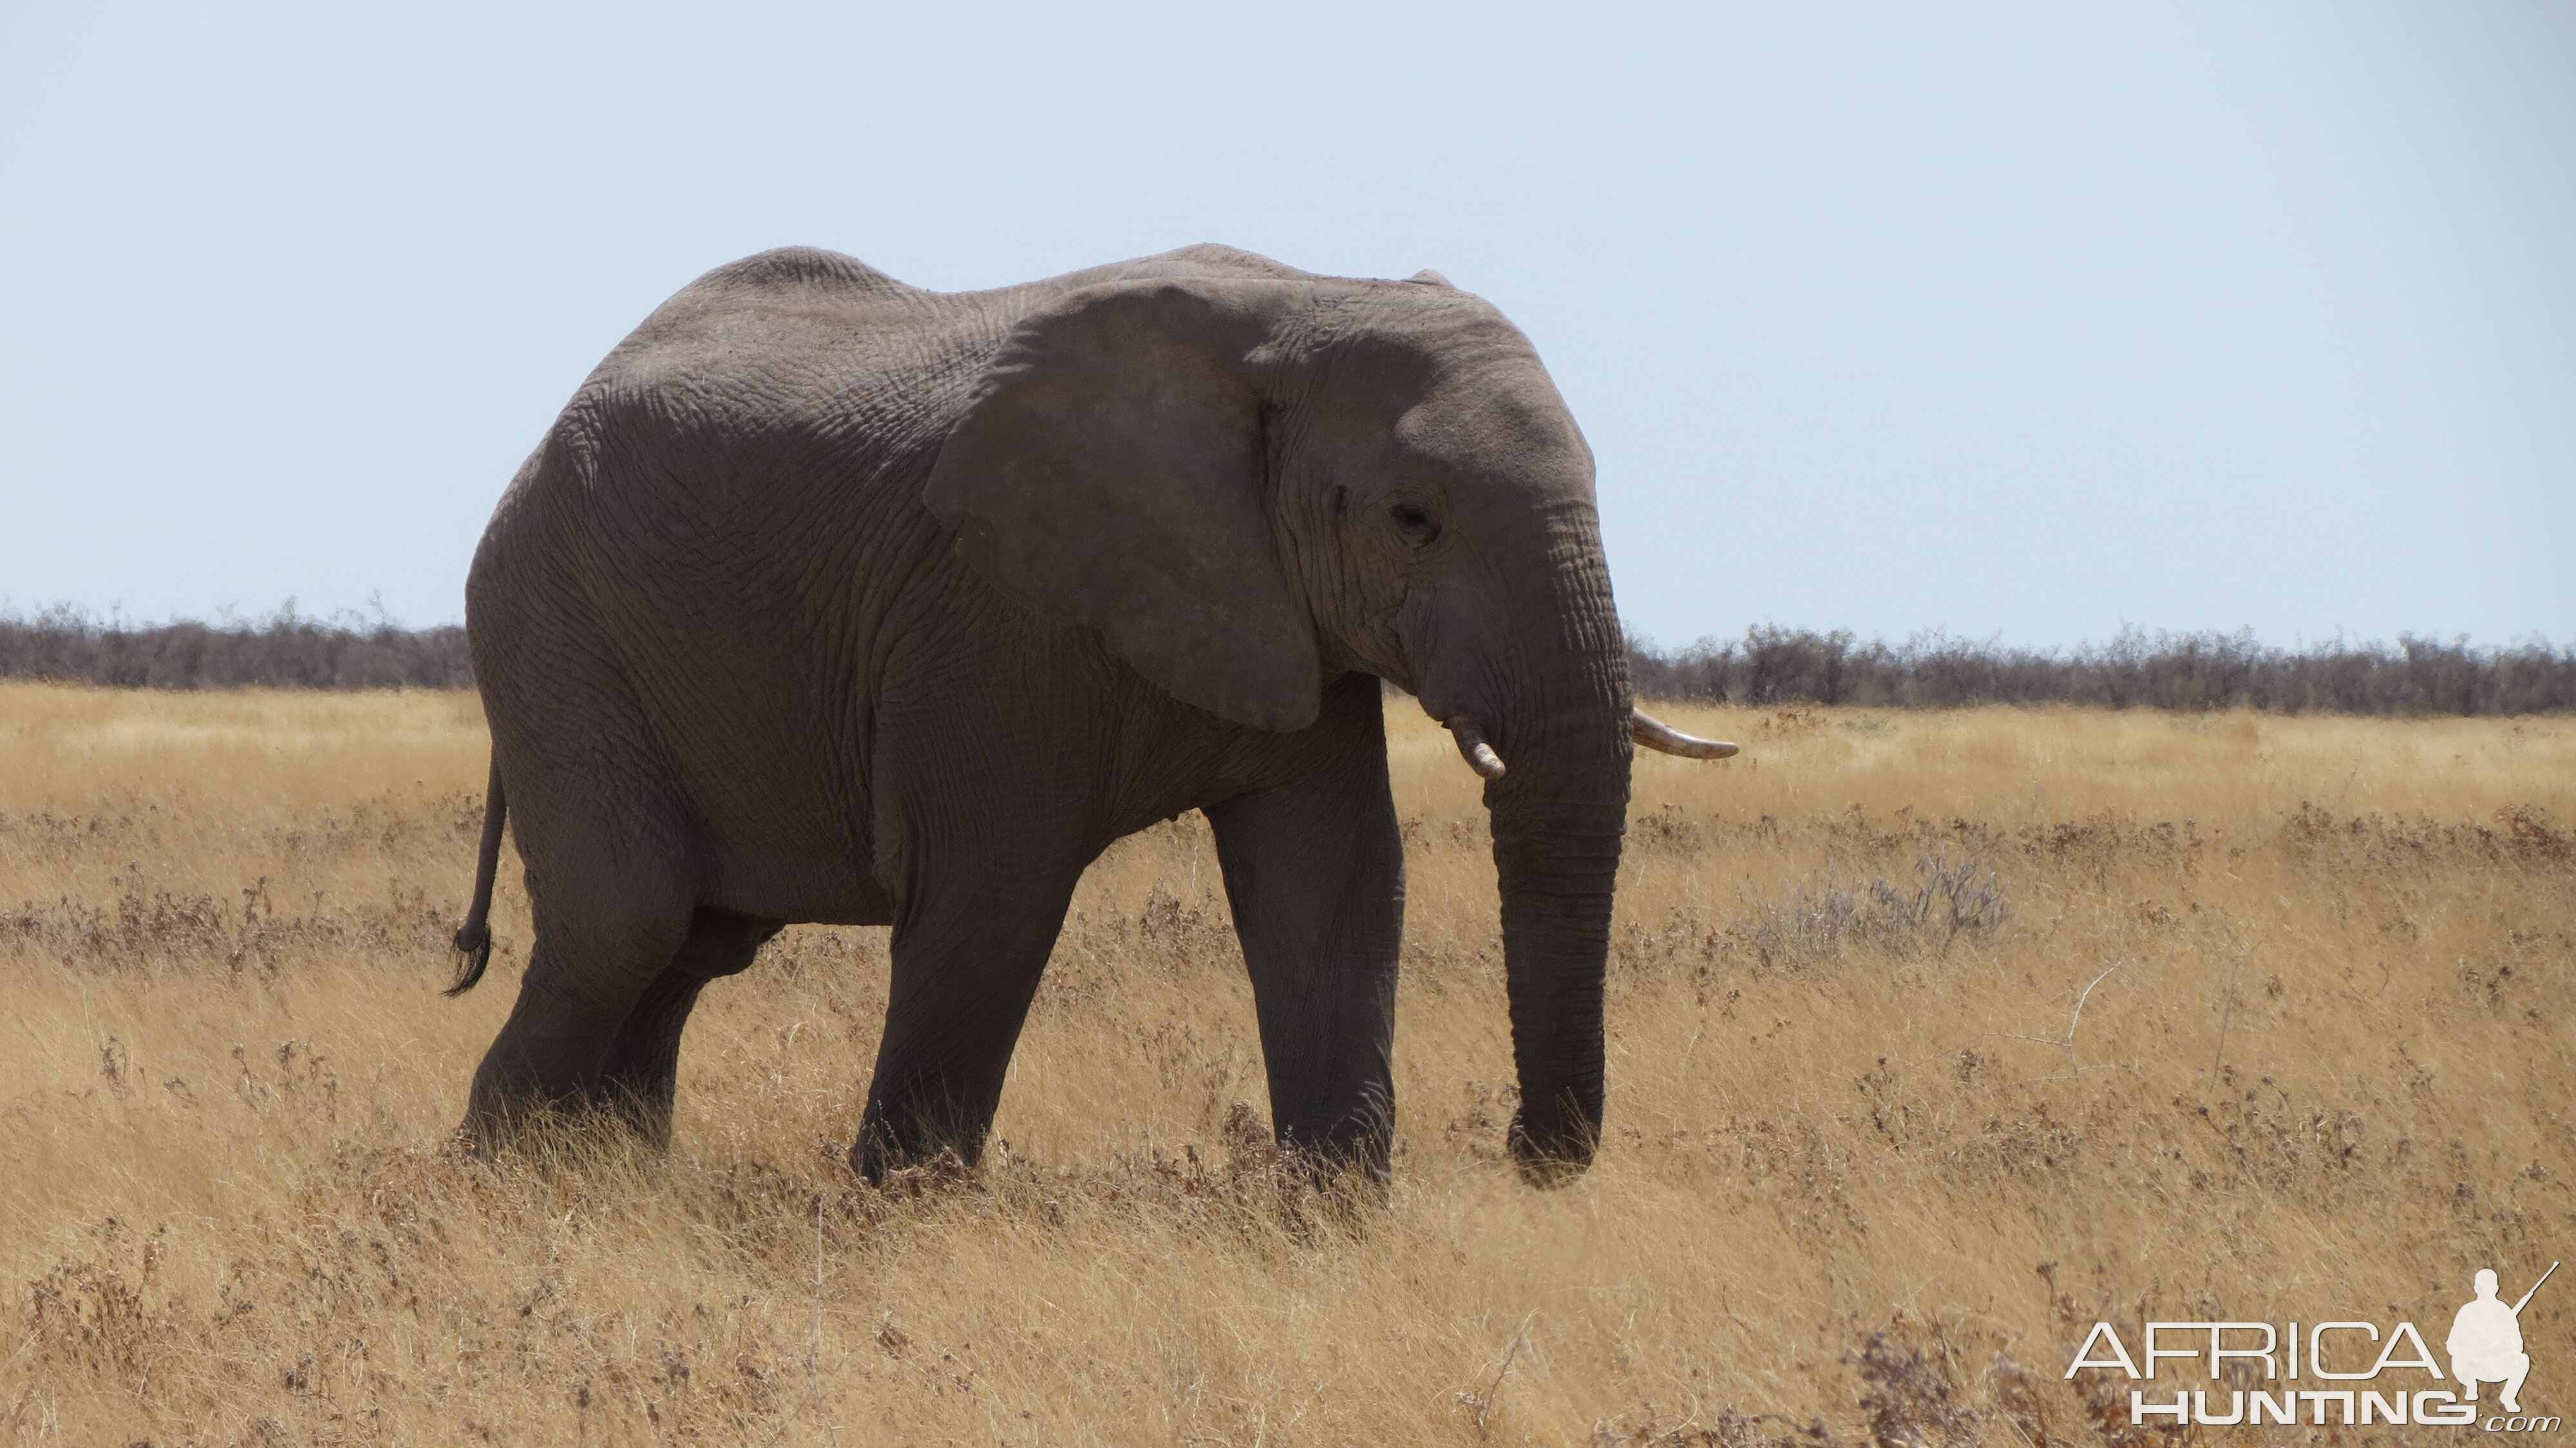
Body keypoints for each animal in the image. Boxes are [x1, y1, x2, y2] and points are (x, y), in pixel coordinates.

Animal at [448, 240, 1731, 1185]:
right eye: (1412, 518)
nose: (1528, 1154)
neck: (1305, 300)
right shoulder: (989, 613)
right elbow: (992, 894)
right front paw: (900, 1210)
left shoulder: (1282, 616)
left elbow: (1335, 882)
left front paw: (1334, 1215)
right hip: (548, 627)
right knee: (628, 919)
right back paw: (496, 1189)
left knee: (693, 945)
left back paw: (610, 1186)